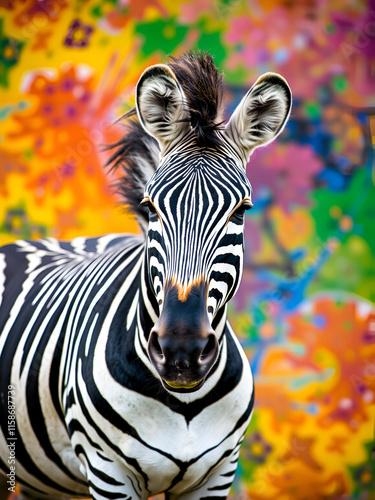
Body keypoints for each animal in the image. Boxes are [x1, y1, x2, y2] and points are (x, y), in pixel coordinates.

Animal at [0, 52, 292, 498]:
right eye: (151, 207)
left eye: (241, 210)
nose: (182, 352)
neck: (184, 403)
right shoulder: (108, 471)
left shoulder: (218, 473)